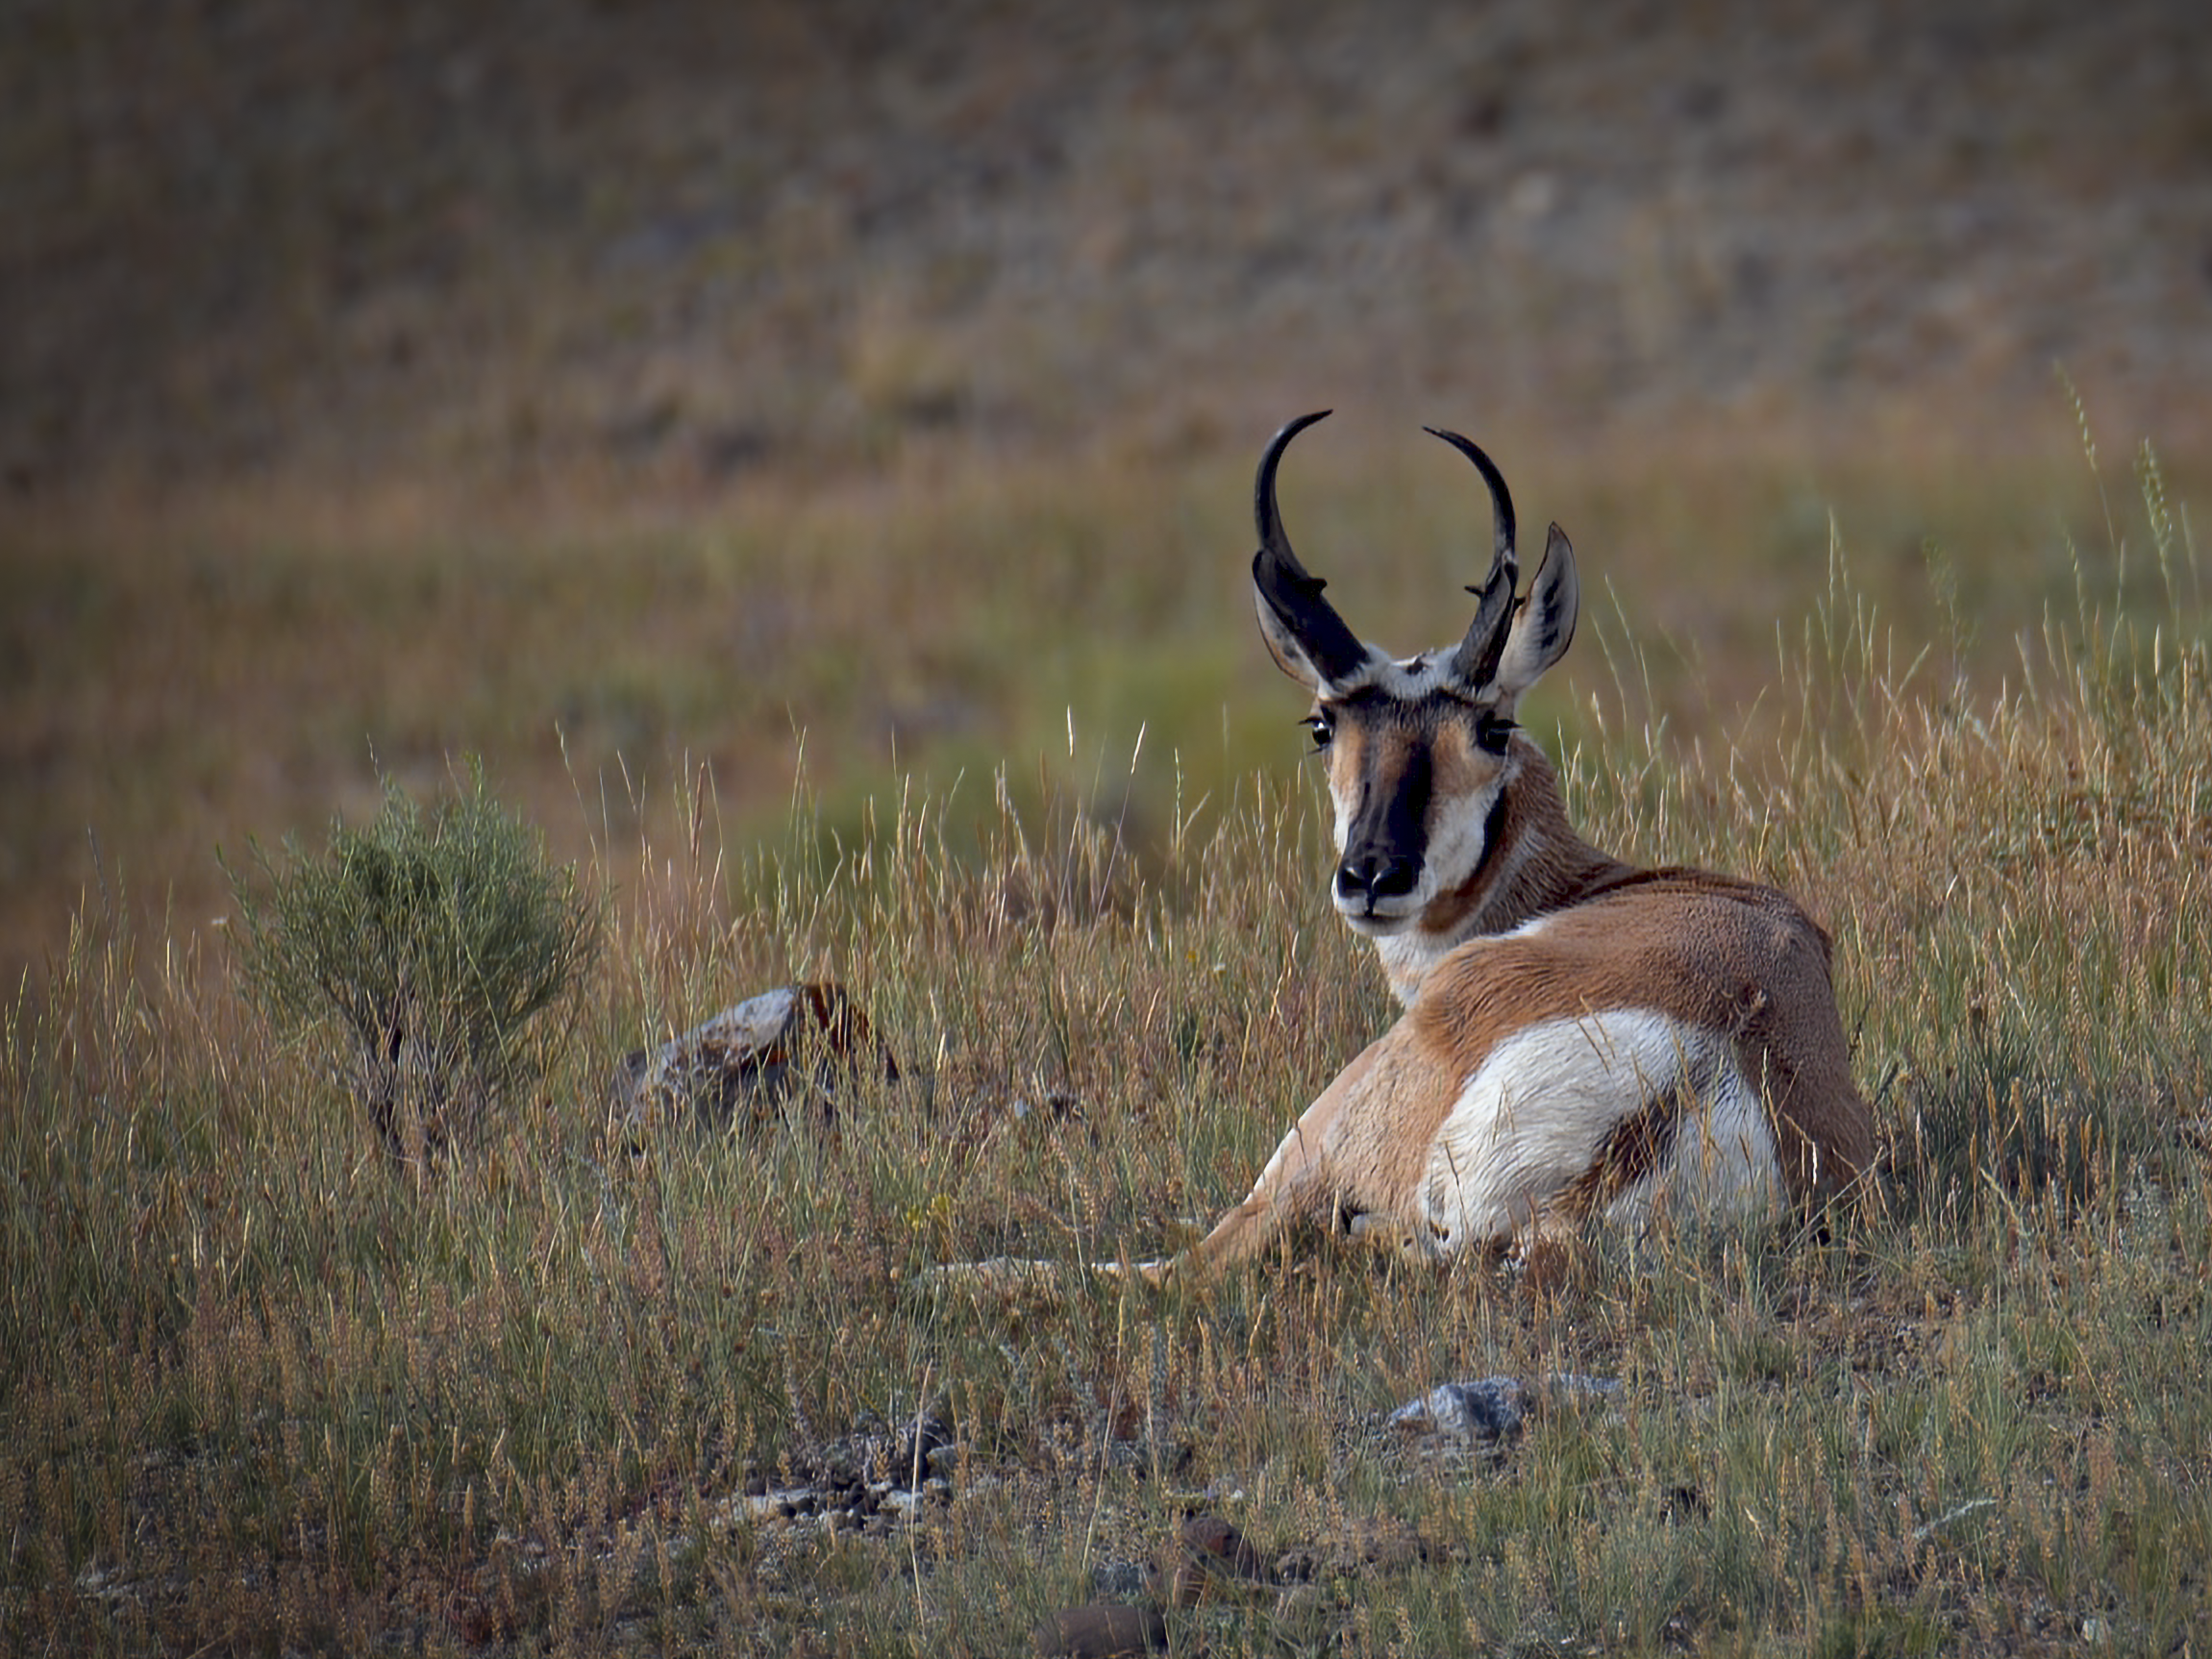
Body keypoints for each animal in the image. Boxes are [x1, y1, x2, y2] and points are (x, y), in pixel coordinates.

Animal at [941, 413, 1873, 1292]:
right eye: (1324, 724)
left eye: (1491, 727)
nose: (1372, 875)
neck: (1586, 888)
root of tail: (1699, 1073)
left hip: (1328, 1143)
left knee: (1194, 1264)